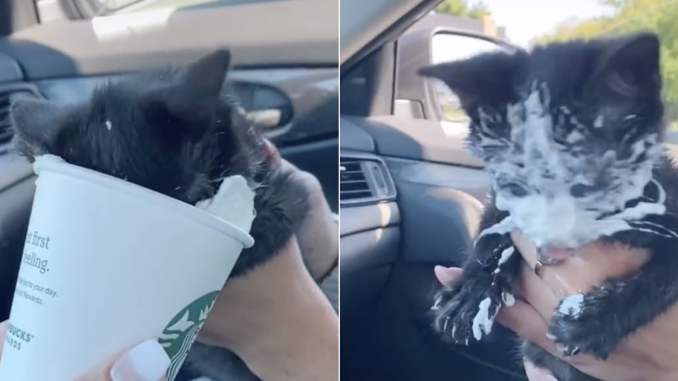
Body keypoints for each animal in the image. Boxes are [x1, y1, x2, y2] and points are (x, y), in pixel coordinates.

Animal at [420, 33, 678, 380]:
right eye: (515, 176)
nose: (548, 234)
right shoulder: (500, 201)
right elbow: (493, 230)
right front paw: (470, 296)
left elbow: (662, 279)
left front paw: (591, 319)